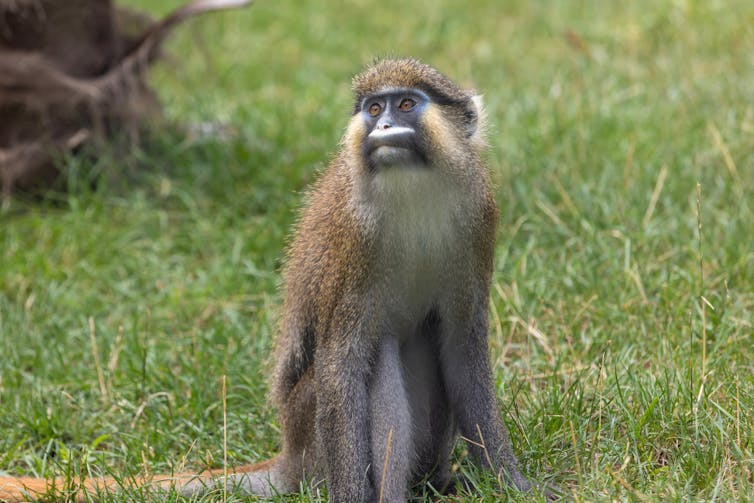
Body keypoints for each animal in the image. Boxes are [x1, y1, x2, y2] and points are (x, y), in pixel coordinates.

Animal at [0, 58, 538, 502]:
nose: (383, 126)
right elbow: (342, 357)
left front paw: (513, 483)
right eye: (373, 107)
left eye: (406, 103)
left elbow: (460, 345)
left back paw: (439, 482)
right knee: (378, 352)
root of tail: (291, 458)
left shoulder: (478, 218)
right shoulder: (353, 242)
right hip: (309, 426)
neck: (414, 191)